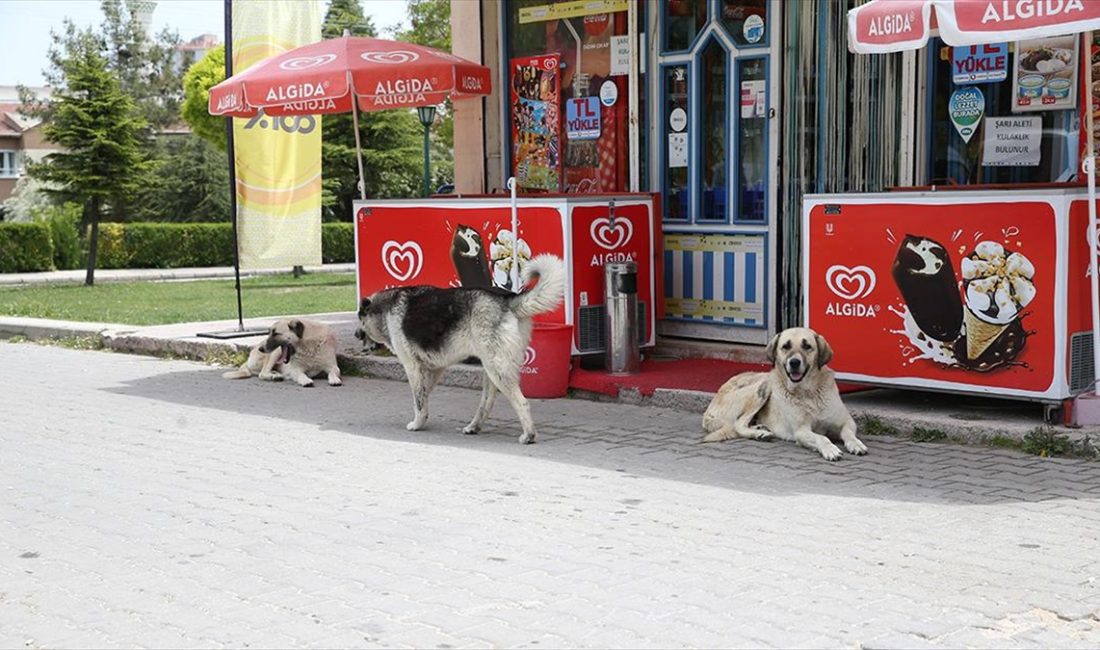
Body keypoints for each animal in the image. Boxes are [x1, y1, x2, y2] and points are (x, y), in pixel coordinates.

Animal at [358, 252, 567, 442]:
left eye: (360, 319)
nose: (356, 335)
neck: (385, 310)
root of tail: (507, 298)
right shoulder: (435, 369)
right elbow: (424, 396)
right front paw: (422, 419)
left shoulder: (413, 367)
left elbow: (419, 400)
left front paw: (417, 424)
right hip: (491, 370)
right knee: (486, 404)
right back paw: (473, 427)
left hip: (497, 369)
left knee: (522, 403)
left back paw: (528, 435)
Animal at [704, 327, 866, 459]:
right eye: (785, 347)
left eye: (807, 346)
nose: (794, 362)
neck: (809, 393)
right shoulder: (801, 431)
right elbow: (822, 438)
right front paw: (830, 449)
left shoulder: (847, 422)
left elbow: (848, 433)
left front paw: (856, 444)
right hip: (764, 386)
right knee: (738, 424)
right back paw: (760, 434)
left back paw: (760, 428)